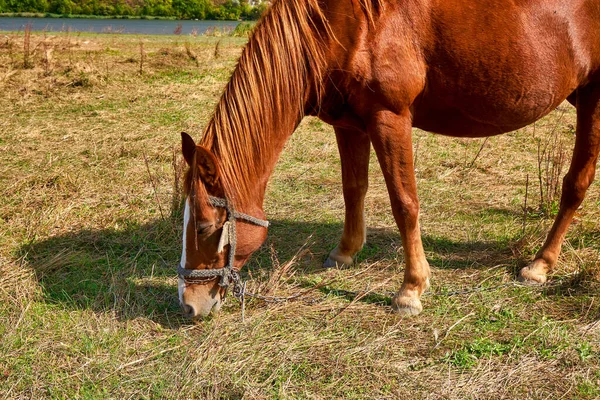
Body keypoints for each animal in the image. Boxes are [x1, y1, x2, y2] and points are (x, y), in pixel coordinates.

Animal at [177, 0, 600, 318]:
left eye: (204, 226)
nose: (188, 304)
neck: (343, 26)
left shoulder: (390, 118)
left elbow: (404, 203)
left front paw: (411, 289)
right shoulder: (348, 124)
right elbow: (353, 189)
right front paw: (345, 252)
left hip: (593, 99)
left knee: (576, 184)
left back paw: (539, 266)